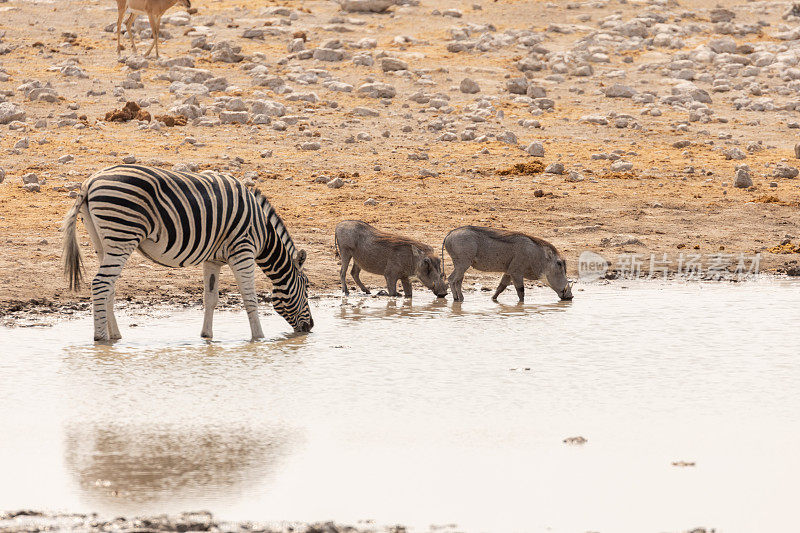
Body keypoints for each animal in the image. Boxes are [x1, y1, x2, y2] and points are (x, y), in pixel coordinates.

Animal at [62, 164, 314, 342]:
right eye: (307, 286)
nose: (311, 327)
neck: (263, 232)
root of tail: (89, 182)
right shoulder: (243, 250)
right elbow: (250, 298)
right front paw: (259, 339)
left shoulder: (213, 259)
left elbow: (210, 298)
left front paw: (207, 337)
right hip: (122, 234)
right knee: (101, 284)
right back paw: (101, 338)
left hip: (102, 241)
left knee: (109, 287)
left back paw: (115, 336)